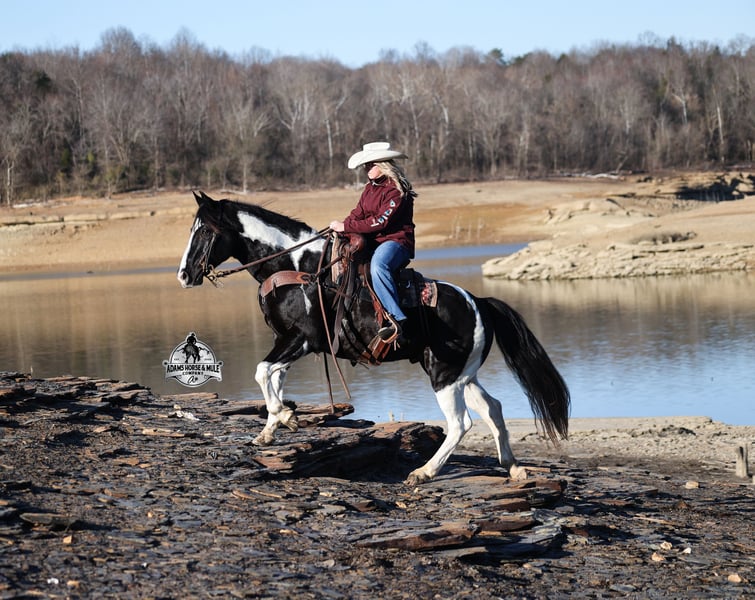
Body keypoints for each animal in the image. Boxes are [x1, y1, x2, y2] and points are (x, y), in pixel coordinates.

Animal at [177, 191, 570, 485]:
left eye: (204, 231)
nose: (183, 275)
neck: (298, 269)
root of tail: (479, 302)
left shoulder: (300, 339)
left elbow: (262, 371)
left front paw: (284, 417)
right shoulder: (287, 342)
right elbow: (273, 376)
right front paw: (273, 427)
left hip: (443, 375)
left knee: (461, 423)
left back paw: (424, 472)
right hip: (462, 375)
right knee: (493, 408)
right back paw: (513, 467)